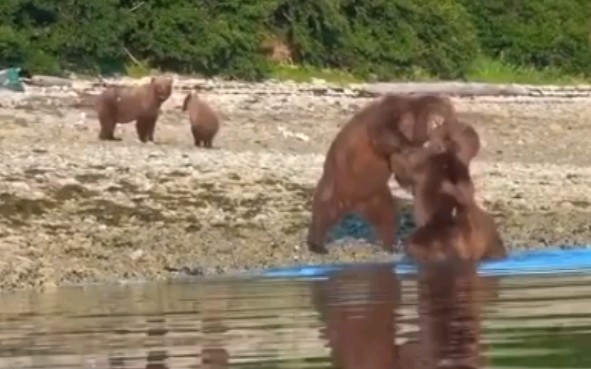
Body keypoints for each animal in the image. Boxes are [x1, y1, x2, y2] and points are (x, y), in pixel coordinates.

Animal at [308, 93, 464, 253]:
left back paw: (391, 245)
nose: (454, 122)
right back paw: (317, 245)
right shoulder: (387, 113)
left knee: (386, 217)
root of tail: (352, 204)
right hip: (337, 183)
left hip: (374, 195)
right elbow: (383, 131)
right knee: (323, 210)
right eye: (448, 112)